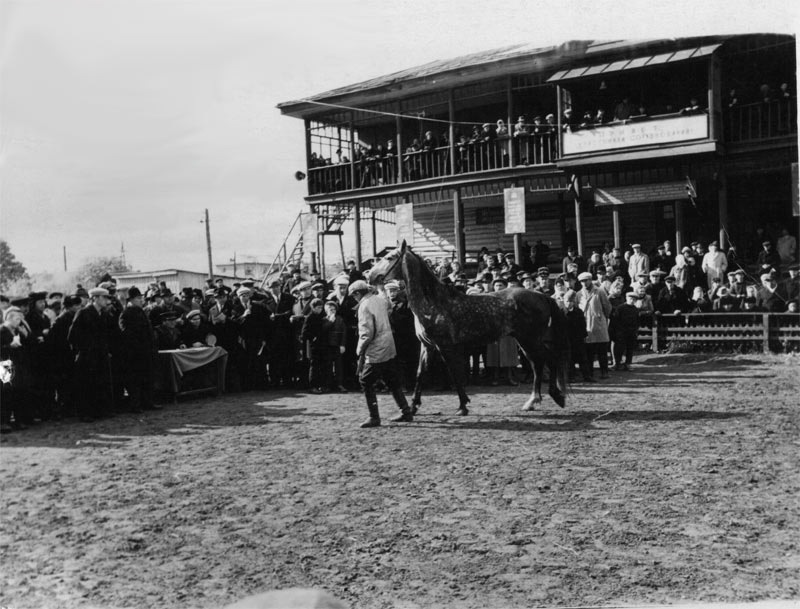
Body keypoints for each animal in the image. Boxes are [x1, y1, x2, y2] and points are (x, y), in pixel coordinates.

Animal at [368, 240, 568, 416]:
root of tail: (542, 296)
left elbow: (455, 373)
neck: (434, 302)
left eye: (389, 257)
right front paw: (414, 407)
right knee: (538, 363)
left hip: (530, 339)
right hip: (525, 340)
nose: (370, 276)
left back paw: (556, 397)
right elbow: (420, 374)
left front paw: (463, 406)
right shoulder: (427, 346)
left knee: (547, 360)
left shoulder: (445, 346)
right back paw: (533, 401)